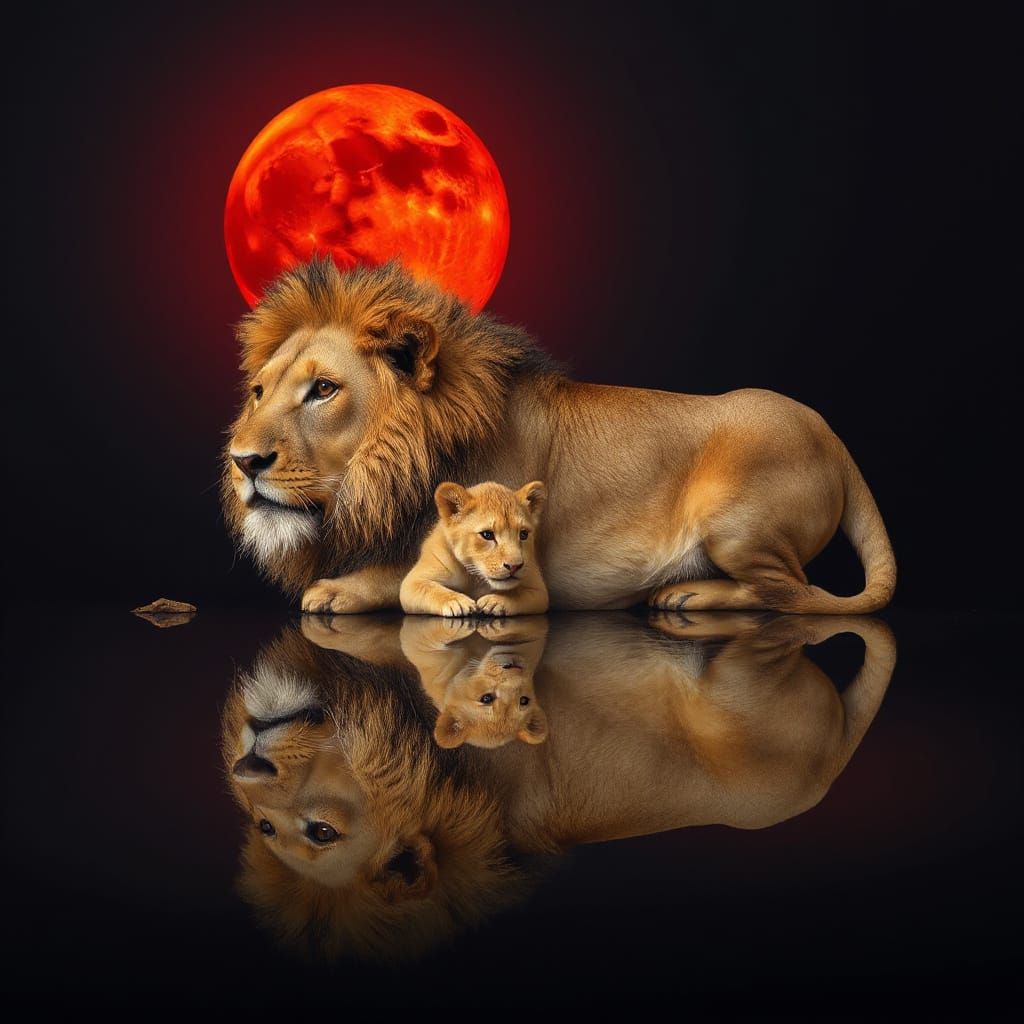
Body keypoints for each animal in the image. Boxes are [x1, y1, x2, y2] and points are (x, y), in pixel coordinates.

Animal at [399, 480, 548, 618]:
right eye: (487, 534)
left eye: (523, 534)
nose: (514, 566)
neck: (474, 577)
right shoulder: (411, 583)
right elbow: (430, 589)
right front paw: (457, 602)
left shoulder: (539, 591)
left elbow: (517, 593)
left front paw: (494, 601)